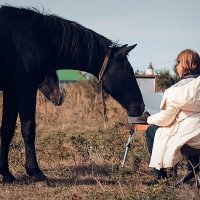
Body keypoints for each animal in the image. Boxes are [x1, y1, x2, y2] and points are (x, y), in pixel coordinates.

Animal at [0, 5, 145, 182]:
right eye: (129, 72)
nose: (140, 107)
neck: (38, 38)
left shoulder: (11, 91)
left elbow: (6, 130)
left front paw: (6, 173)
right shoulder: (25, 87)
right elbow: (28, 129)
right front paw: (35, 172)